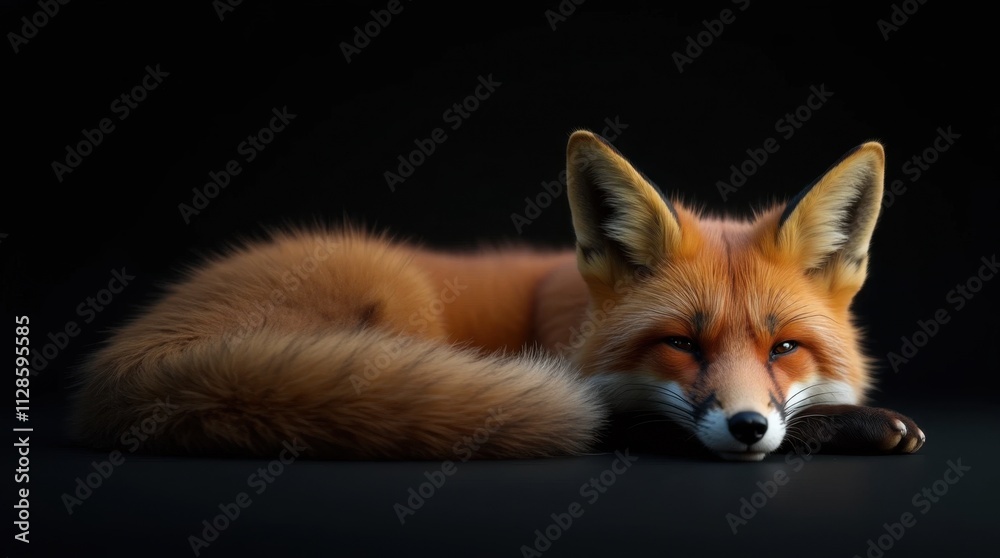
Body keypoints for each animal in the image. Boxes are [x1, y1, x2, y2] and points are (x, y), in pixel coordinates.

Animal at [70, 130, 925, 461]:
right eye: (682, 343)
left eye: (785, 348)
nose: (749, 427)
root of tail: (123, 359)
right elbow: (631, 420)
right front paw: (860, 425)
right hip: (396, 291)